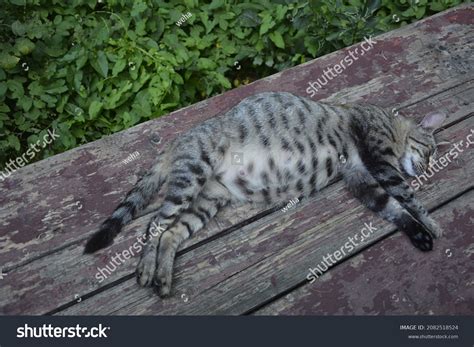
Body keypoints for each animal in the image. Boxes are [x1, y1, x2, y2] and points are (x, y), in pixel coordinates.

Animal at [84, 92, 444, 296]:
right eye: (430, 150)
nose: (427, 166)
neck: (392, 125)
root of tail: (176, 140)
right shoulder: (377, 157)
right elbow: (407, 197)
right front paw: (431, 223)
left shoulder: (360, 177)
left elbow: (392, 208)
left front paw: (419, 233)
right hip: (192, 176)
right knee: (153, 226)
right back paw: (147, 269)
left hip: (208, 200)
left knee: (171, 233)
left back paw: (162, 277)